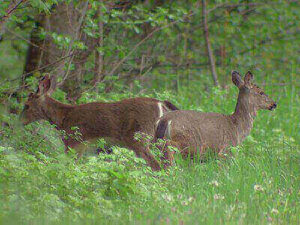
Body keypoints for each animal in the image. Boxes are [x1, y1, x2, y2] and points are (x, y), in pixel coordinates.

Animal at [20, 74, 178, 171]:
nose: (20, 121)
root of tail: (161, 103)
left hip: (139, 138)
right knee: (169, 164)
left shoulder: (75, 141)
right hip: (161, 139)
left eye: (26, 105)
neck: (64, 118)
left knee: (157, 165)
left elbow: (69, 164)